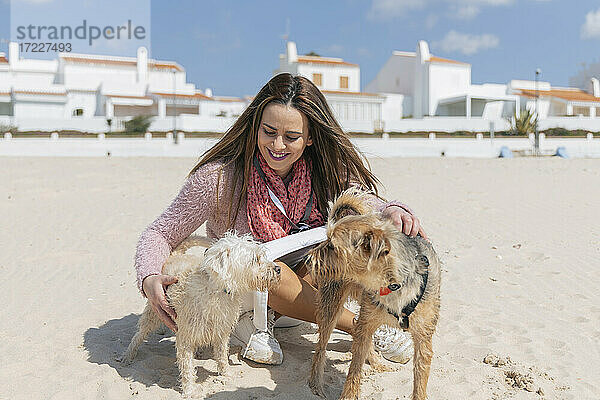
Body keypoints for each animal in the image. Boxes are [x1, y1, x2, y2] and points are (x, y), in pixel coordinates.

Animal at [123, 231, 282, 396]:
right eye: (255, 259)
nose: (278, 269)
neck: (217, 290)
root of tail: (175, 255)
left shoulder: (221, 331)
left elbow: (222, 356)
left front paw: (226, 375)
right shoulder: (185, 336)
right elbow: (187, 366)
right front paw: (189, 390)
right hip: (153, 314)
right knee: (139, 334)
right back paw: (127, 356)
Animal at [310, 190, 440, 400]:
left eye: (332, 246)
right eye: (327, 240)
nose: (308, 258)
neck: (391, 285)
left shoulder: (423, 340)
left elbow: (420, 382)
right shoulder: (366, 322)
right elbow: (353, 371)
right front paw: (348, 394)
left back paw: (377, 364)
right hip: (332, 307)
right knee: (323, 345)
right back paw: (315, 384)